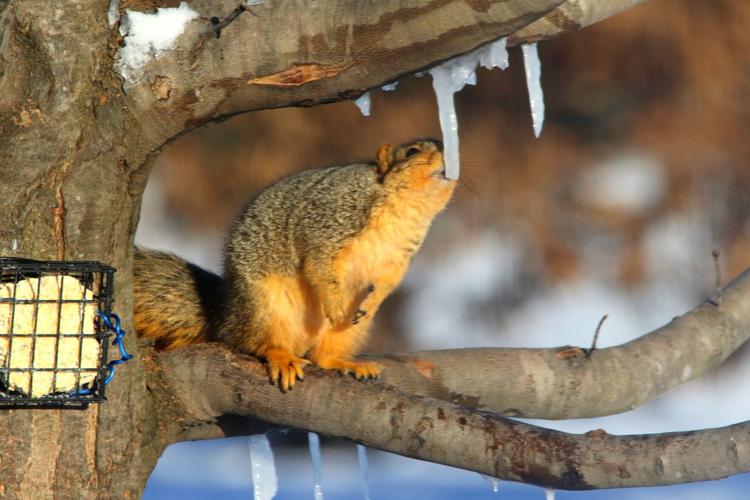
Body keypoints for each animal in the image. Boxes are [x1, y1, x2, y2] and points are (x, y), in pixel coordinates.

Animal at [134, 140, 456, 391]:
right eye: (412, 151)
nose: (450, 156)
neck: (406, 208)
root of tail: (225, 314)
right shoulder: (326, 222)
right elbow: (319, 265)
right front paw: (334, 305)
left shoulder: (399, 256)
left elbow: (389, 282)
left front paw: (373, 300)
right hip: (263, 307)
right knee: (253, 342)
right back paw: (281, 356)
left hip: (350, 331)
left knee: (322, 356)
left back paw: (345, 362)